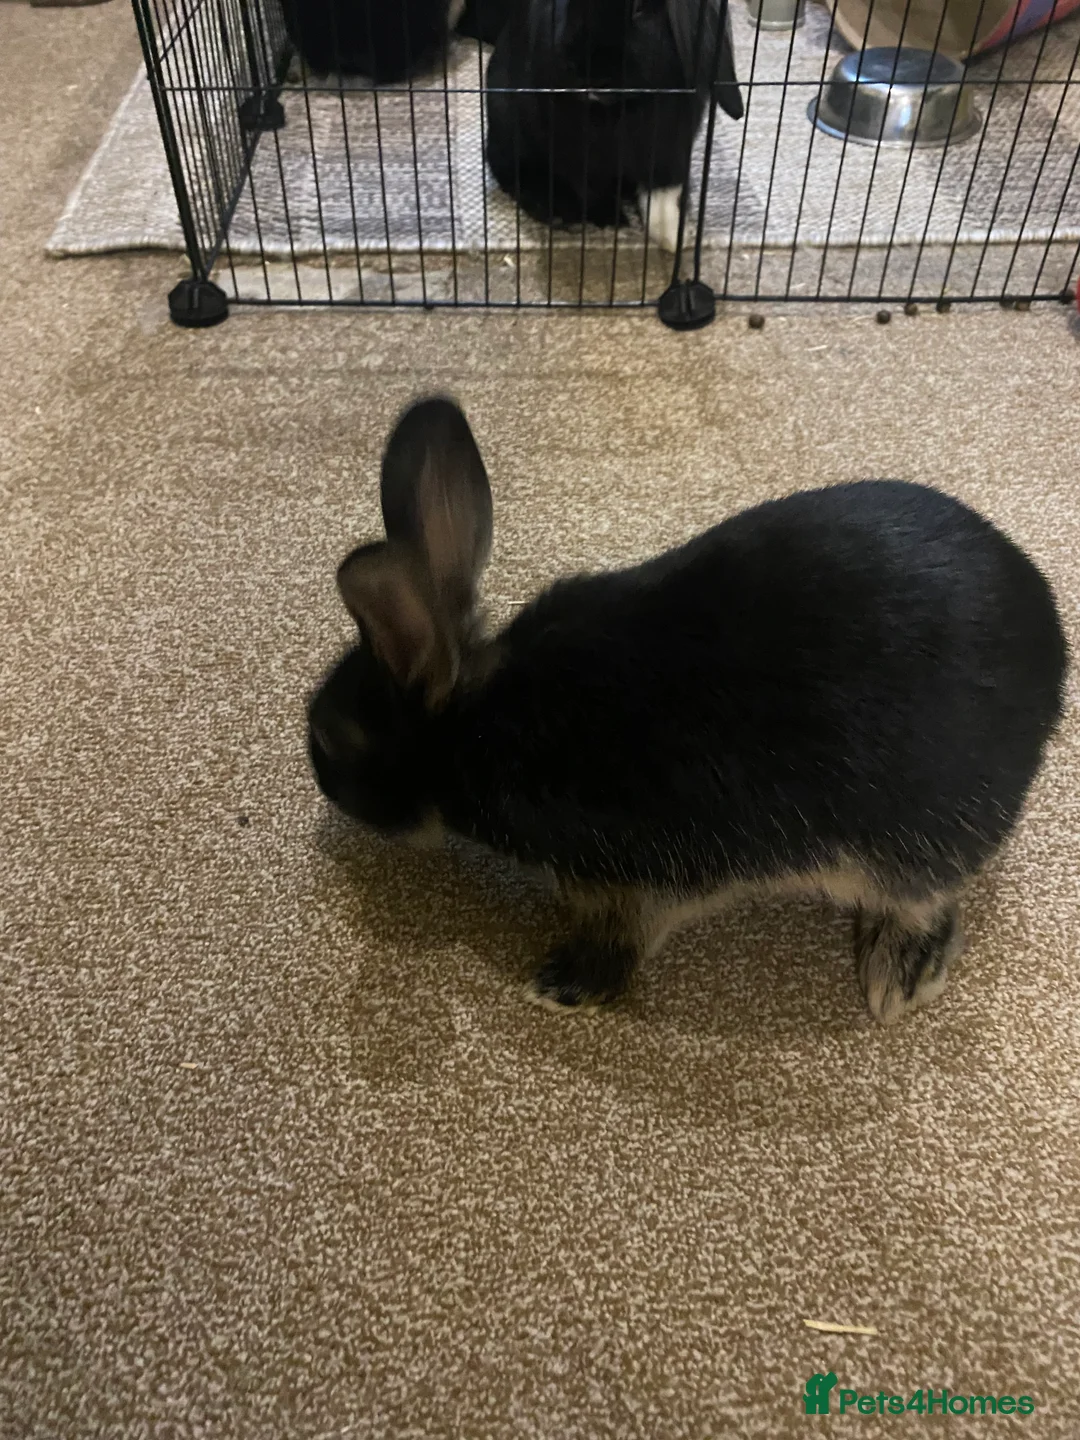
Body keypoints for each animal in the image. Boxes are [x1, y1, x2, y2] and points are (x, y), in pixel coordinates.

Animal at [308, 397, 1068, 1025]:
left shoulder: (630, 878)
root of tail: (1052, 650)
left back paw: (896, 975)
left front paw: (564, 986)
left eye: (329, 737)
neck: (477, 724)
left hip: (907, 846)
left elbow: (626, 936)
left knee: (927, 902)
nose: (318, 781)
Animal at [484, 0, 743, 252]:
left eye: (639, 8)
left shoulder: (671, 147)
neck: (623, 107)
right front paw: (612, 221)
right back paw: (560, 215)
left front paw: (673, 237)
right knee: (514, 170)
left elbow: (664, 192)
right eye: (571, 5)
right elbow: (587, 185)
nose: (585, 71)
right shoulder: (573, 145)